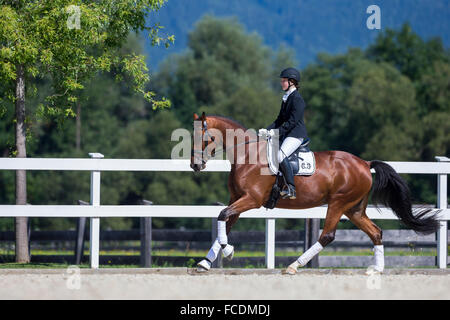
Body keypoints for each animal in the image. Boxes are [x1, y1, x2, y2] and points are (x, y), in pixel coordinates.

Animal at [191, 112, 440, 272]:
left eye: (204, 138)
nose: (195, 165)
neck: (248, 155)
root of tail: (364, 163)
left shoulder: (251, 199)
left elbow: (223, 216)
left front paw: (228, 252)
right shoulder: (237, 199)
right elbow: (224, 223)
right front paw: (206, 262)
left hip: (338, 203)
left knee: (327, 235)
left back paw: (294, 266)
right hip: (354, 209)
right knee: (376, 232)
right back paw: (377, 270)